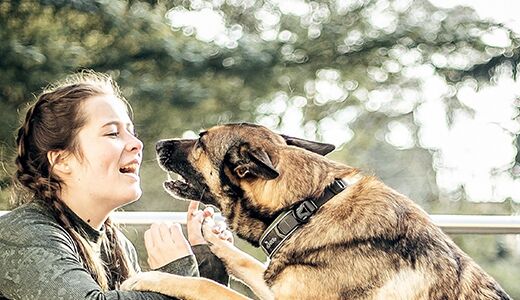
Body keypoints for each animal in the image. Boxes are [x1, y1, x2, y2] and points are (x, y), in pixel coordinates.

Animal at [123, 122, 512, 300]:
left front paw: (151, 278)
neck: (305, 208)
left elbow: (202, 283)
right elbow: (244, 261)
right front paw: (210, 235)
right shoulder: (275, 285)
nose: (155, 144)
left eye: (201, 143)